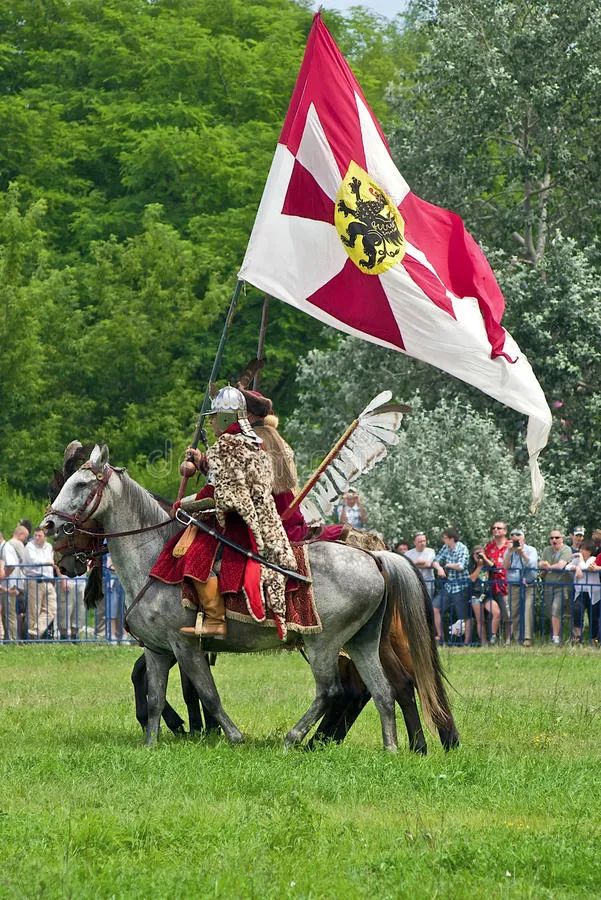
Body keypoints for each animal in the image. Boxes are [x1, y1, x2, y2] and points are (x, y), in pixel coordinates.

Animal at [43, 442, 450, 752]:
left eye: (81, 484)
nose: (49, 526)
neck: (154, 557)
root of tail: (373, 556)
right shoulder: (158, 650)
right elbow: (156, 696)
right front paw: (151, 743)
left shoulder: (185, 646)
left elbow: (207, 692)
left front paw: (232, 735)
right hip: (363, 641)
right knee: (383, 690)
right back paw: (391, 747)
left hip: (324, 643)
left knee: (333, 690)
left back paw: (297, 738)